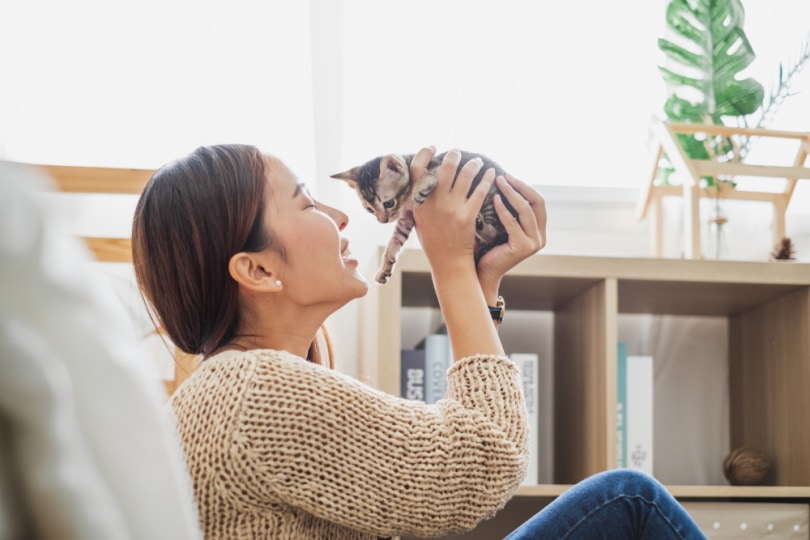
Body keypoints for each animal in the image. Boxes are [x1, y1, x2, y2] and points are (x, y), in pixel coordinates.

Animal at [332, 148, 516, 282]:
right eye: (369, 210)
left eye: (388, 203)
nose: (383, 221)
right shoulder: (406, 217)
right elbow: (394, 241)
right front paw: (385, 266)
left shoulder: (444, 166)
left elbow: (430, 173)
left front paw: (419, 188)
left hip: (492, 199)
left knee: (496, 233)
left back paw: (480, 224)